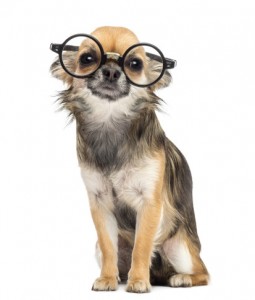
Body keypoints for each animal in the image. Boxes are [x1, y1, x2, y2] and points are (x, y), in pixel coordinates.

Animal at [50, 26, 209, 292]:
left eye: (135, 64)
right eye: (87, 59)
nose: (112, 71)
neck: (111, 123)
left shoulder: (150, 203)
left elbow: (142, 247)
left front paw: (139, 281)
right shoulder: (100, 203)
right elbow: (108, 247)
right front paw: (106, 279)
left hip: (179, 247)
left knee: (203, 272)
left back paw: (180, 278)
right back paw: (121, 277)